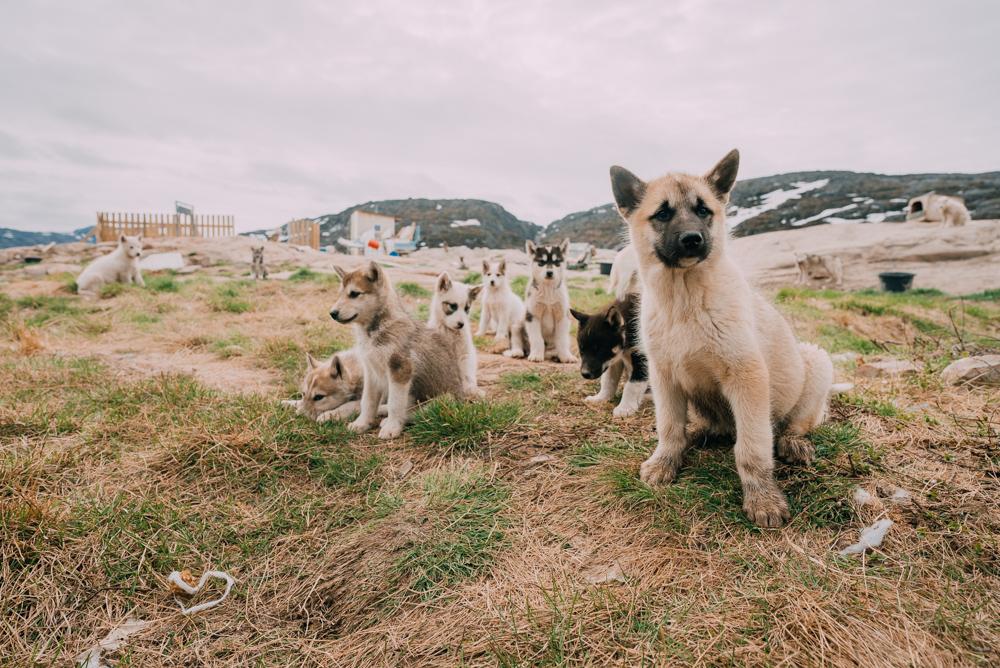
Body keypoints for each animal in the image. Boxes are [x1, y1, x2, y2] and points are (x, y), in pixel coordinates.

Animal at [330, 264, 466, 440]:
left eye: (354, 294)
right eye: (340, 294)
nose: (332, 313)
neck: (375, 330)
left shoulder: (400, 370)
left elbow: (395, 404)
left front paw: (392, 428)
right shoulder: (371, 372)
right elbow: (368, 401)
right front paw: (362, 423)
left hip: (444, 399)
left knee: (415, 413)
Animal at [612, 150, 832, 528]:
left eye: (704, 211)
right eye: (662, 213)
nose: (692, 239)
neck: (685, 301)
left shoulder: (747, 377)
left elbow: (752, 448)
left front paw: (762, 498)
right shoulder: (664, 377)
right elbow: (669, 428)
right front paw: (665, 462)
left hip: (816, 362)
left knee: (793, 425)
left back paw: (792, 443)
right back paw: (699, 433)